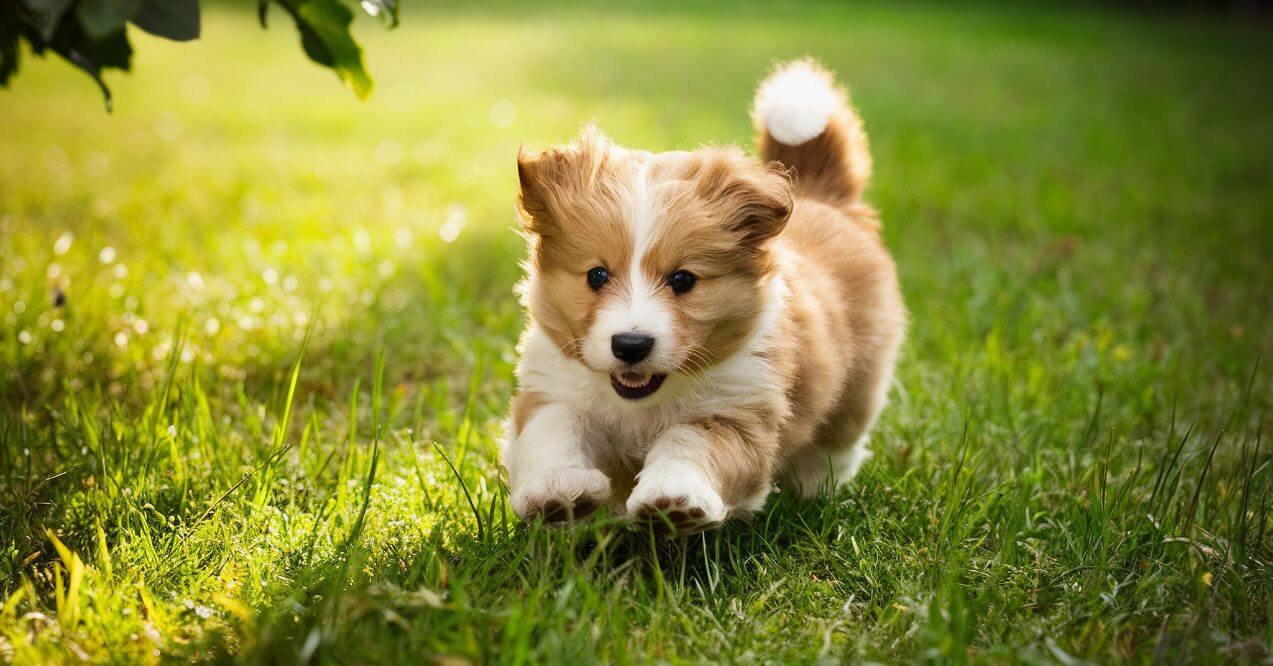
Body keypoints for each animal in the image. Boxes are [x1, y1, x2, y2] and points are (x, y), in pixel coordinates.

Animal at [499, 59, 906, 534]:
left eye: (683, 280)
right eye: (596, 275)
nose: (631, 345)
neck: (644, 402)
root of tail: (823, 195)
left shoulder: (738, 412)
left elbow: (688, 444)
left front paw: (673, 501)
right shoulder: (555, 389)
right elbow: (552, 433)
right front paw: (557, 491)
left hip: (860, 384)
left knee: (839, 443)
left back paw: (816, 490)